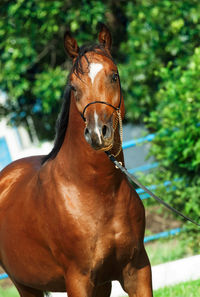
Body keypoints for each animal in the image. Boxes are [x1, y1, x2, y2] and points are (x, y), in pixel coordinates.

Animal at [0, 24, 153, 294]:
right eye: (73, 87)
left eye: (114, 76)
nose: (97, 132)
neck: (97, 190)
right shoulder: (78, 280)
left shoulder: (138, 271)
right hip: (25, 285)